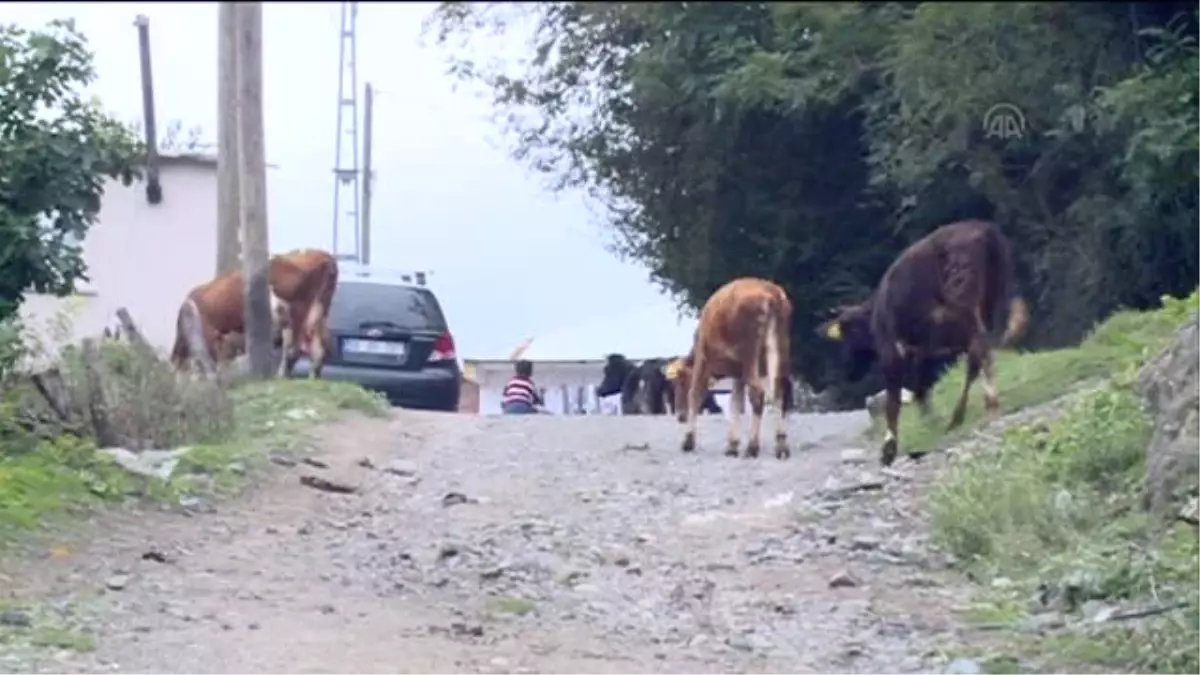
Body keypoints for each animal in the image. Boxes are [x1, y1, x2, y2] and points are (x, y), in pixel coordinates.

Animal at [169, 247, 340, 374]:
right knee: (317, 350)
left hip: (298, 312)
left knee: (294, 349)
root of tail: (321, 255)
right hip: (318, 312)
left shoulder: (211, 336)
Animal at [681, 277, 792, 456]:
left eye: (680, 383)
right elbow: (736, 402)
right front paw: (732, 444)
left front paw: (688, 441)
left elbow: (695, 394)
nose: (680, 416)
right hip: (777, 352)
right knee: (778, 393)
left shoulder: (703, 361)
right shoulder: (738, 373)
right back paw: (781, 445)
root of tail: (770, 292)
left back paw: (753, 447)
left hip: (750, 360)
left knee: (758, 394)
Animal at [820, 218, 1027, 466]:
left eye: (847, 336)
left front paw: (889, 448)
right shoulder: (923, 349)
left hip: (962, 301)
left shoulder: (892, 350)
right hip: (991, 298)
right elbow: (921, 384)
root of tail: (984, 228)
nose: (848, 371)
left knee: (978, 350)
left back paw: (962, 414)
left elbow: (893, 399)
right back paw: (986, 404)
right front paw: (929, 420)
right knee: (985, 348)